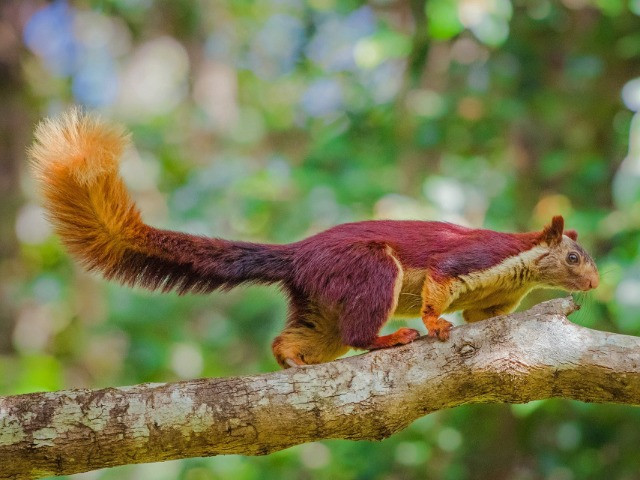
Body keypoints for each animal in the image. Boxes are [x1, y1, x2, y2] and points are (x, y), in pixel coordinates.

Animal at [29, 109, 600, 368]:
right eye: (574, 256)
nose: (595, 283)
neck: (521, 267)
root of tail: (298, 254)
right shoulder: (471, 259)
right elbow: (440, 283)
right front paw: (437, 323)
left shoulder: (495, 296)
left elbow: (485, 317)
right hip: (366, 270)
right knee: (358, 332)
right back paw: (389, 337)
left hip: (320, 302)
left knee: (309, 337)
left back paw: (291, 359)